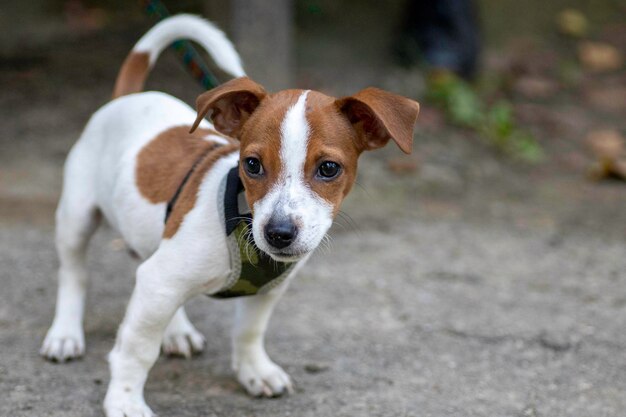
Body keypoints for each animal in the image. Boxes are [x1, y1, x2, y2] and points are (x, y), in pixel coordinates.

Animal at [40, 14, 420, 414]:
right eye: (251, 164)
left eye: (329, 169)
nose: (278, 233)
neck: (243, 225)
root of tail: (127, 98)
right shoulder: (160, 280)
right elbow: (137, 348)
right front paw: (125, 399)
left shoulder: (264, 290)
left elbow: (249, 331)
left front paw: (254, 370)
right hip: (76, 218)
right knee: (74, 274)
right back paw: (65, 333)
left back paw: (177, 330)